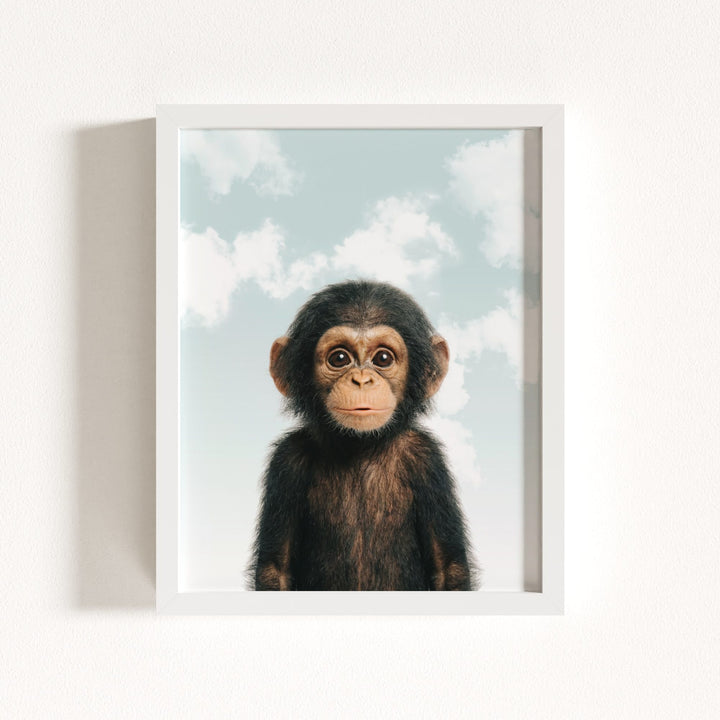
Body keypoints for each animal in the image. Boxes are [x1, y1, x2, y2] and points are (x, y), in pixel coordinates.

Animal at [249, 280, 476, 591]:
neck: (360, 446)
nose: (361, 380)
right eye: (339, 358)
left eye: (383, 358)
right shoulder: (286, 461)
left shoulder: (427, 459)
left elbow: (448, 568)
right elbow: (275, 569)